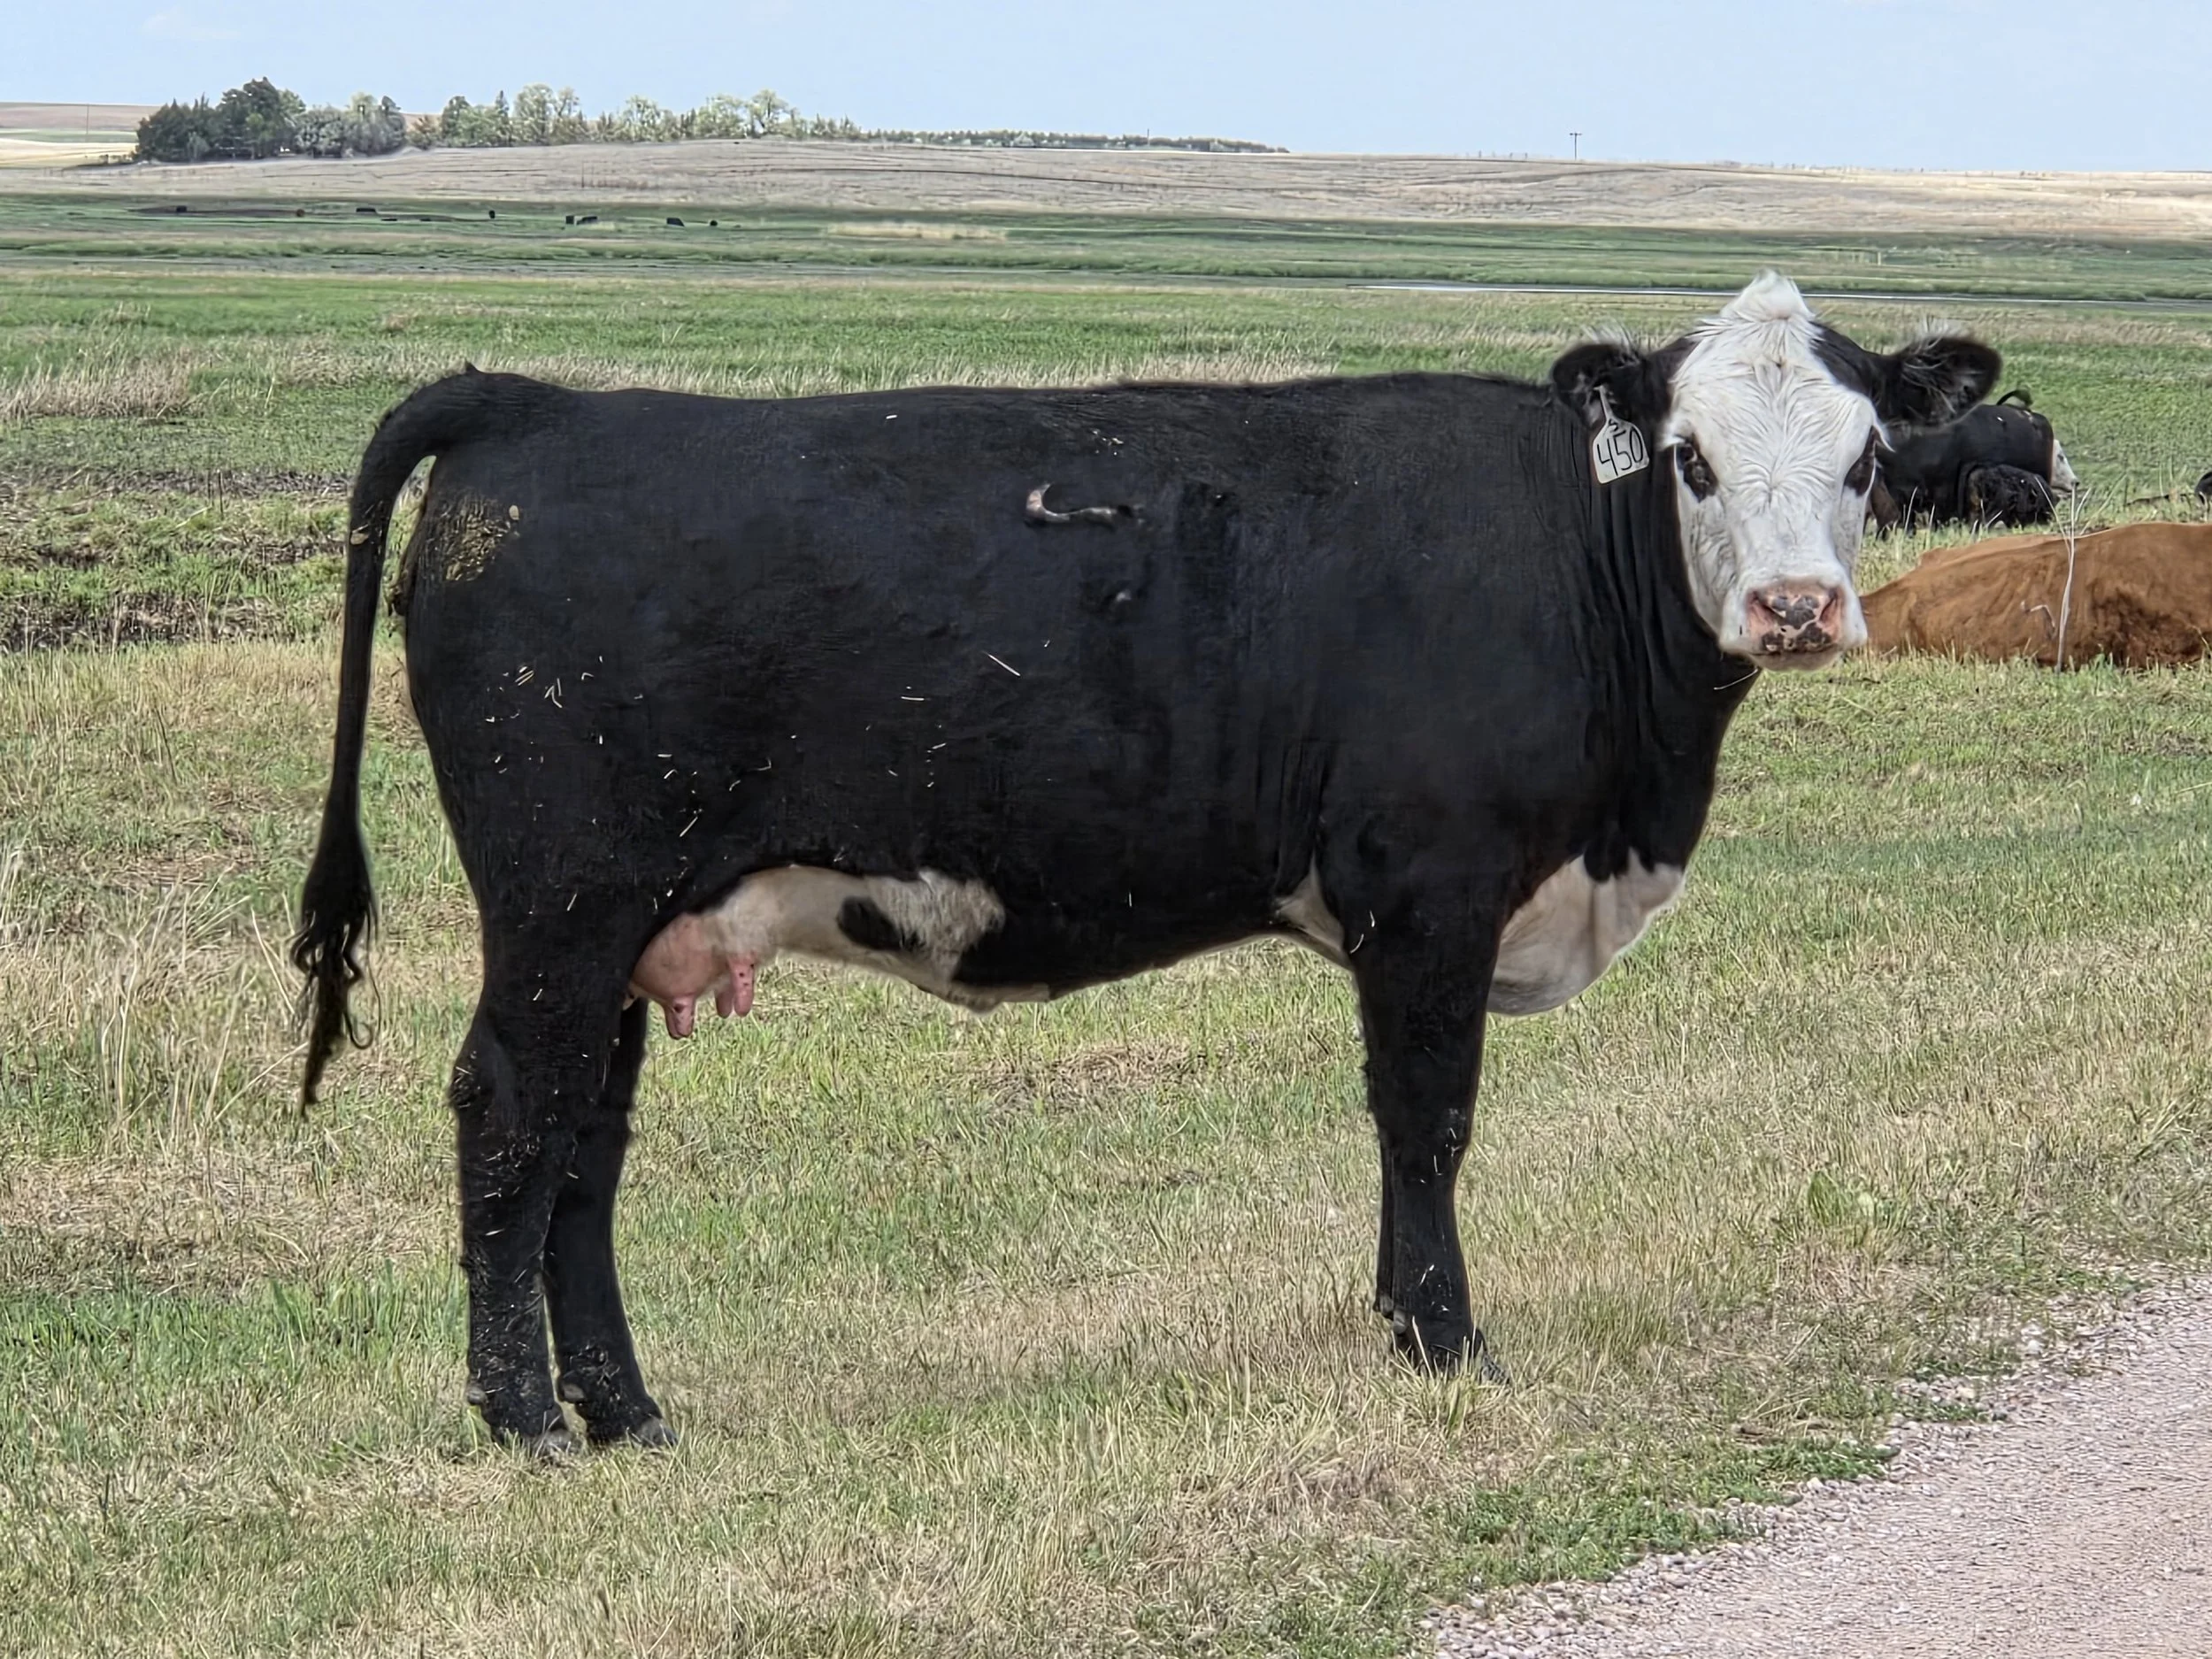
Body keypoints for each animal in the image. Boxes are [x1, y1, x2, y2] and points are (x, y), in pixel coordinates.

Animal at [292, 273, 1997, 1453]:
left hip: (639, 926)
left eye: (1864, 459)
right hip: (561, 906)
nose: (1792, 608)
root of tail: (539, 402)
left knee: (586, 1143)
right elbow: (1426, 1123)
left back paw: (627, 1413)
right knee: (511, 1109)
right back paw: (523, 1420)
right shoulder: (1426, 897)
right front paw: (1442, 1342)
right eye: (1692, 458)